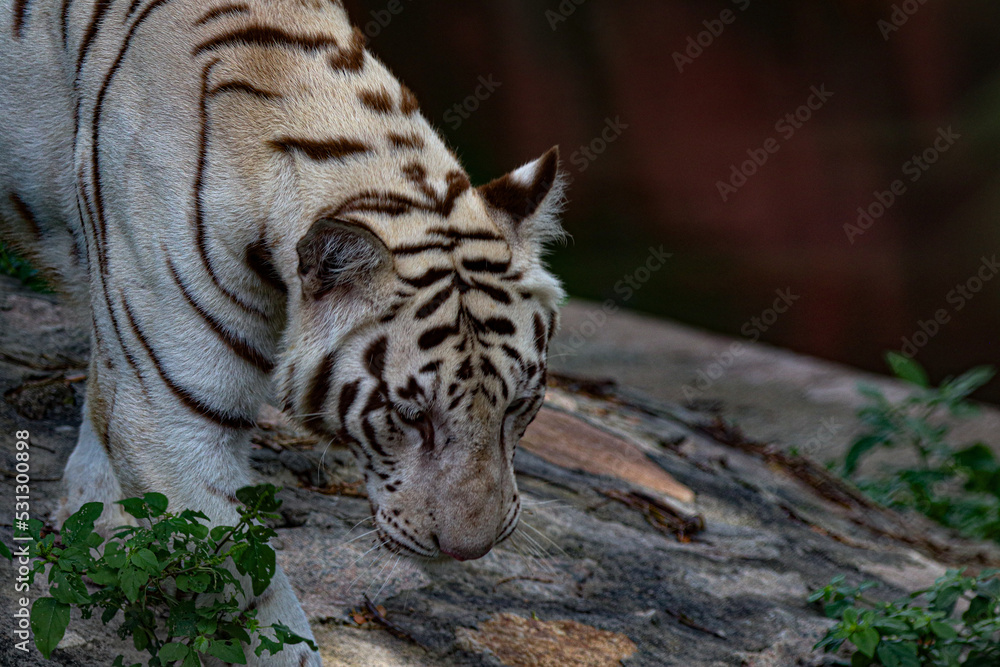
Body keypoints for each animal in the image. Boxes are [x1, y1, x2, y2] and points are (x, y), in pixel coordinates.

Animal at [0, 0, 567, 663]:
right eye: (410, 417)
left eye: (520, 407)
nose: (469, 550)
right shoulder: (170, 418)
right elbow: (250, 582)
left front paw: (96, 515)